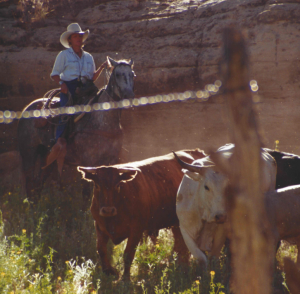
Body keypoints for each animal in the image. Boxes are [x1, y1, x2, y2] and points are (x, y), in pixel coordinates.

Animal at [17, 56, 135, 200]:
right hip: (28, 152)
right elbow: (87, 191)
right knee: (30, 184)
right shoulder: (88, 161)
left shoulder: (111, 160)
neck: (102, 122)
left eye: (132, 75)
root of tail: (27, 109)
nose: (129, 96)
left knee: (39, 183)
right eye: (118, 74)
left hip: (47, 156)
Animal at [77, 149, 206, 280]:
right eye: (97, 185)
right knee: (180, 243)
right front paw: (108, 271)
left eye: (118, 185)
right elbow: (101, 250)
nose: (108, 210)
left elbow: (128, 254)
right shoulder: (100, 226)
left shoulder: (136, 230)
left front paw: (125, 278)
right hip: (176, 224)